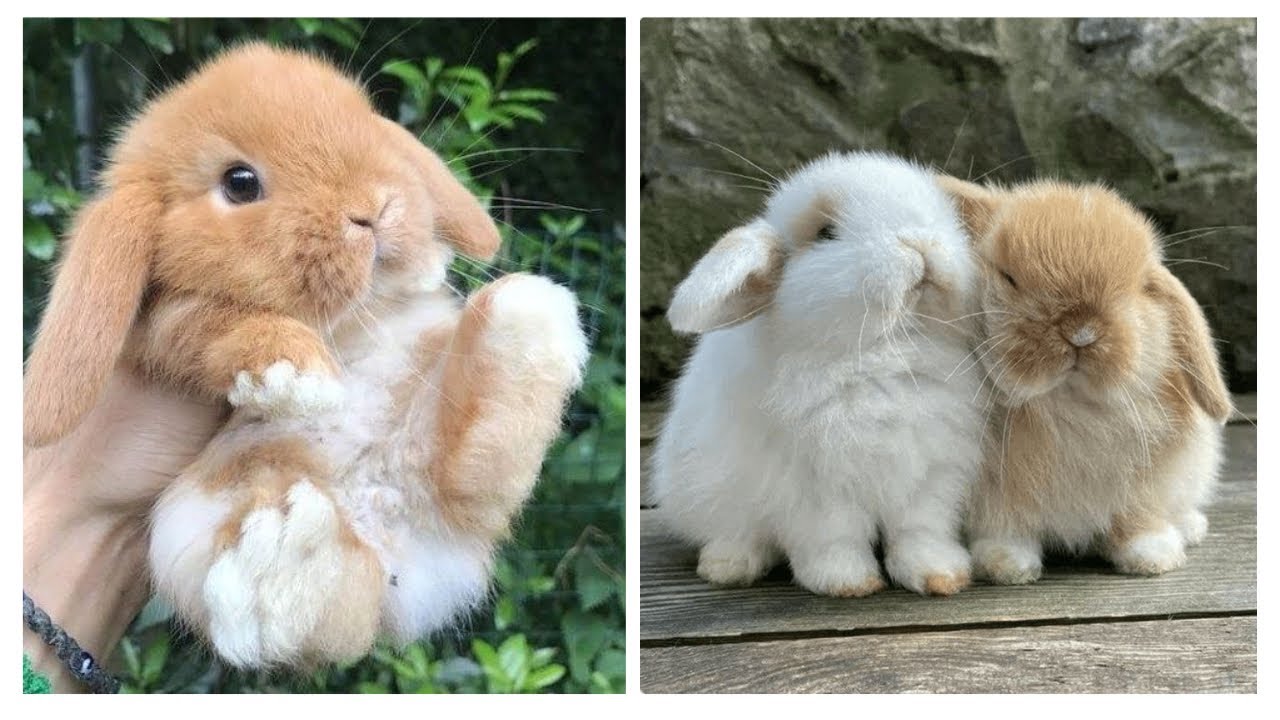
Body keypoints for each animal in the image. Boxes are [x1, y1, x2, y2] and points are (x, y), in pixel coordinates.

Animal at [22, 43, 588, 667]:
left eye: (365, 123)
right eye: (239, 182)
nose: (373, 209)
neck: (344, 324)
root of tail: (384, 512)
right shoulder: (165, 325)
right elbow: (205, 324)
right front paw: (296, 377)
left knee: (468, 473)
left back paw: (525, 322)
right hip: (197, 523)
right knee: (332, 607)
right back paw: (286, 557)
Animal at [650, 152, 987, 597]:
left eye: (942, 211)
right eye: (825, 232)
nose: (919, 241)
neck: (883, 356)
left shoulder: (931, 475)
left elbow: (920, 532)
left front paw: (941, 576)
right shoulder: (816, 490)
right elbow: (835, 538)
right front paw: (848, 582)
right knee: (735, 533)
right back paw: (728, 566)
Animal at [936, 176, 1232, 584]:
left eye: (1140, 288)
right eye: (1009, 278)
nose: (1081, 332)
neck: (1068, 404)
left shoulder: (1147, 484)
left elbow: (1137, 517)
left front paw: (1153, 556)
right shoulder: (995, 495)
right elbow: (1005, 525)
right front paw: (1006, 565)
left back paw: (1189, 527)